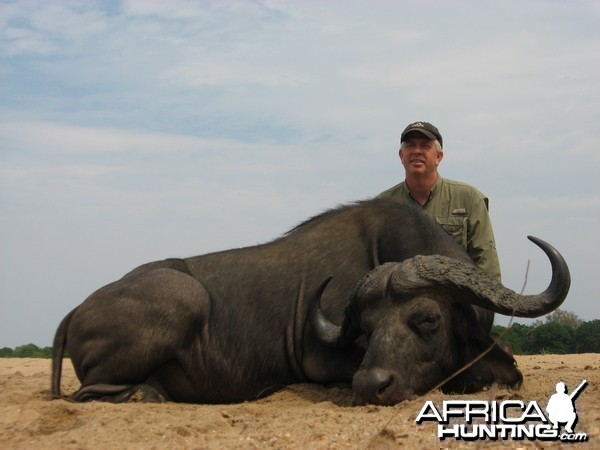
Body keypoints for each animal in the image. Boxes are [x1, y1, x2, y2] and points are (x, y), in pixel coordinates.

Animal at [51, 199, 572, 406]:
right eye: (366, 328)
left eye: (426, 319)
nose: (370, 385)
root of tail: (76, 311)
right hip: (183, 296)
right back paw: (149, 393)